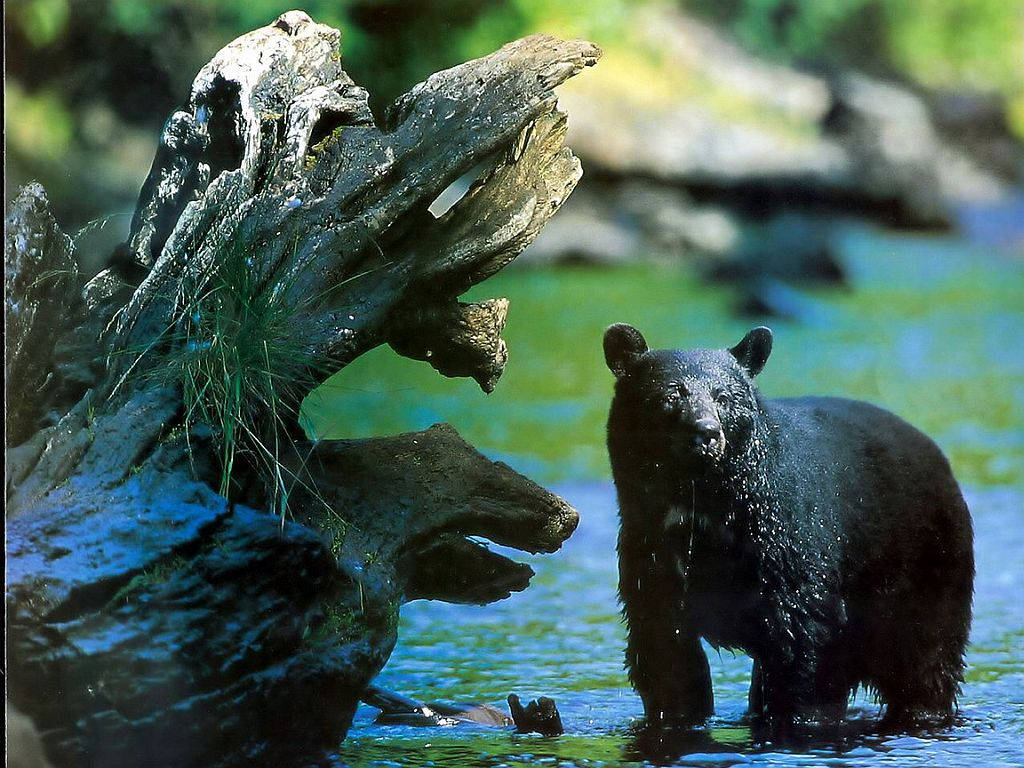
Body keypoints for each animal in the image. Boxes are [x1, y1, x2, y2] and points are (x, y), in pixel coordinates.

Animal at [606, 325, 974, 733]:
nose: (706, 432)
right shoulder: (649, 543)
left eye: (724, 397)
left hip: (927, 563)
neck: (703, 501)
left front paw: (802, 719)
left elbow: (804, 632)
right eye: (671, 394)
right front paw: (677, 715)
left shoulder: (788, 536)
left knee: (925, 657)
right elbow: (662, 642)